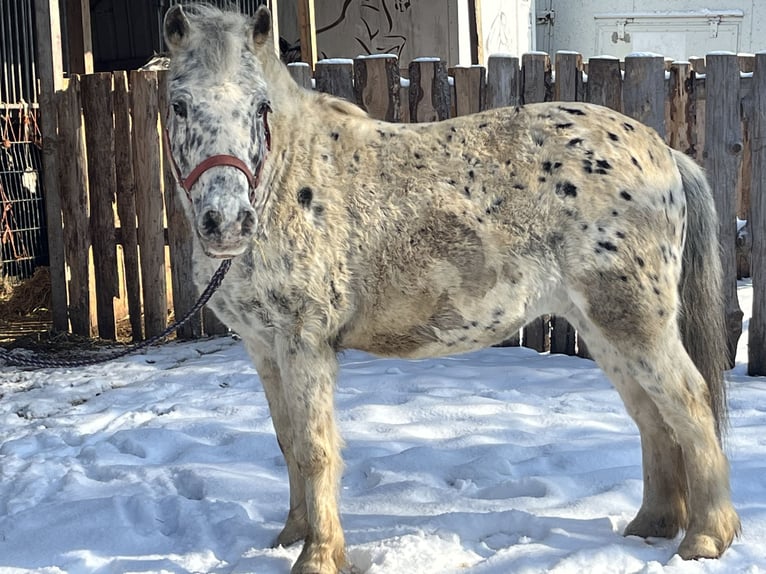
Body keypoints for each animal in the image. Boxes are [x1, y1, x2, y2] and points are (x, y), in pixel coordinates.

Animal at [161, 5, 740, 573]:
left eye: (260, 106)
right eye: (179, 105)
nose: (227, 222)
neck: (288, 181)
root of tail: (664, 153)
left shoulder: (304, 342)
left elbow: (313, 448)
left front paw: (318, 557)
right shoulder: (264, 347)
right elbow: (286, 442)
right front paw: (290, 537)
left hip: (635, 321)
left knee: (689, 403)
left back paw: (706, 537)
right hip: (602, 328)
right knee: (652, 417)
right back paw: (653, 524)